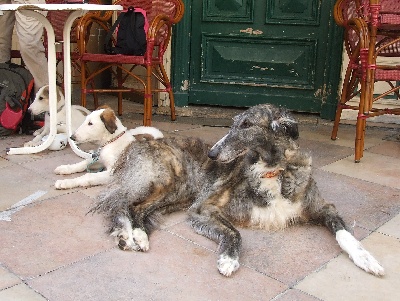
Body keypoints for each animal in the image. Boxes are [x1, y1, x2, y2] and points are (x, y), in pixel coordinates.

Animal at [90, 103, 384, 276]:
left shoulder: (323, 207)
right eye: (232, 123)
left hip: (178, 194)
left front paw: (367, 258)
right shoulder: (204, 208)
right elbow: (234, 233)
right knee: (125, 205)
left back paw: (133, 236)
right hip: (165, 182)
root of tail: (138, 142)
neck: (273, 170)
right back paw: (131, 235)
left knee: (137, 209)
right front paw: (228, 259)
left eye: (246, 125)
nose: (212, 154)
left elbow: (345, 233)